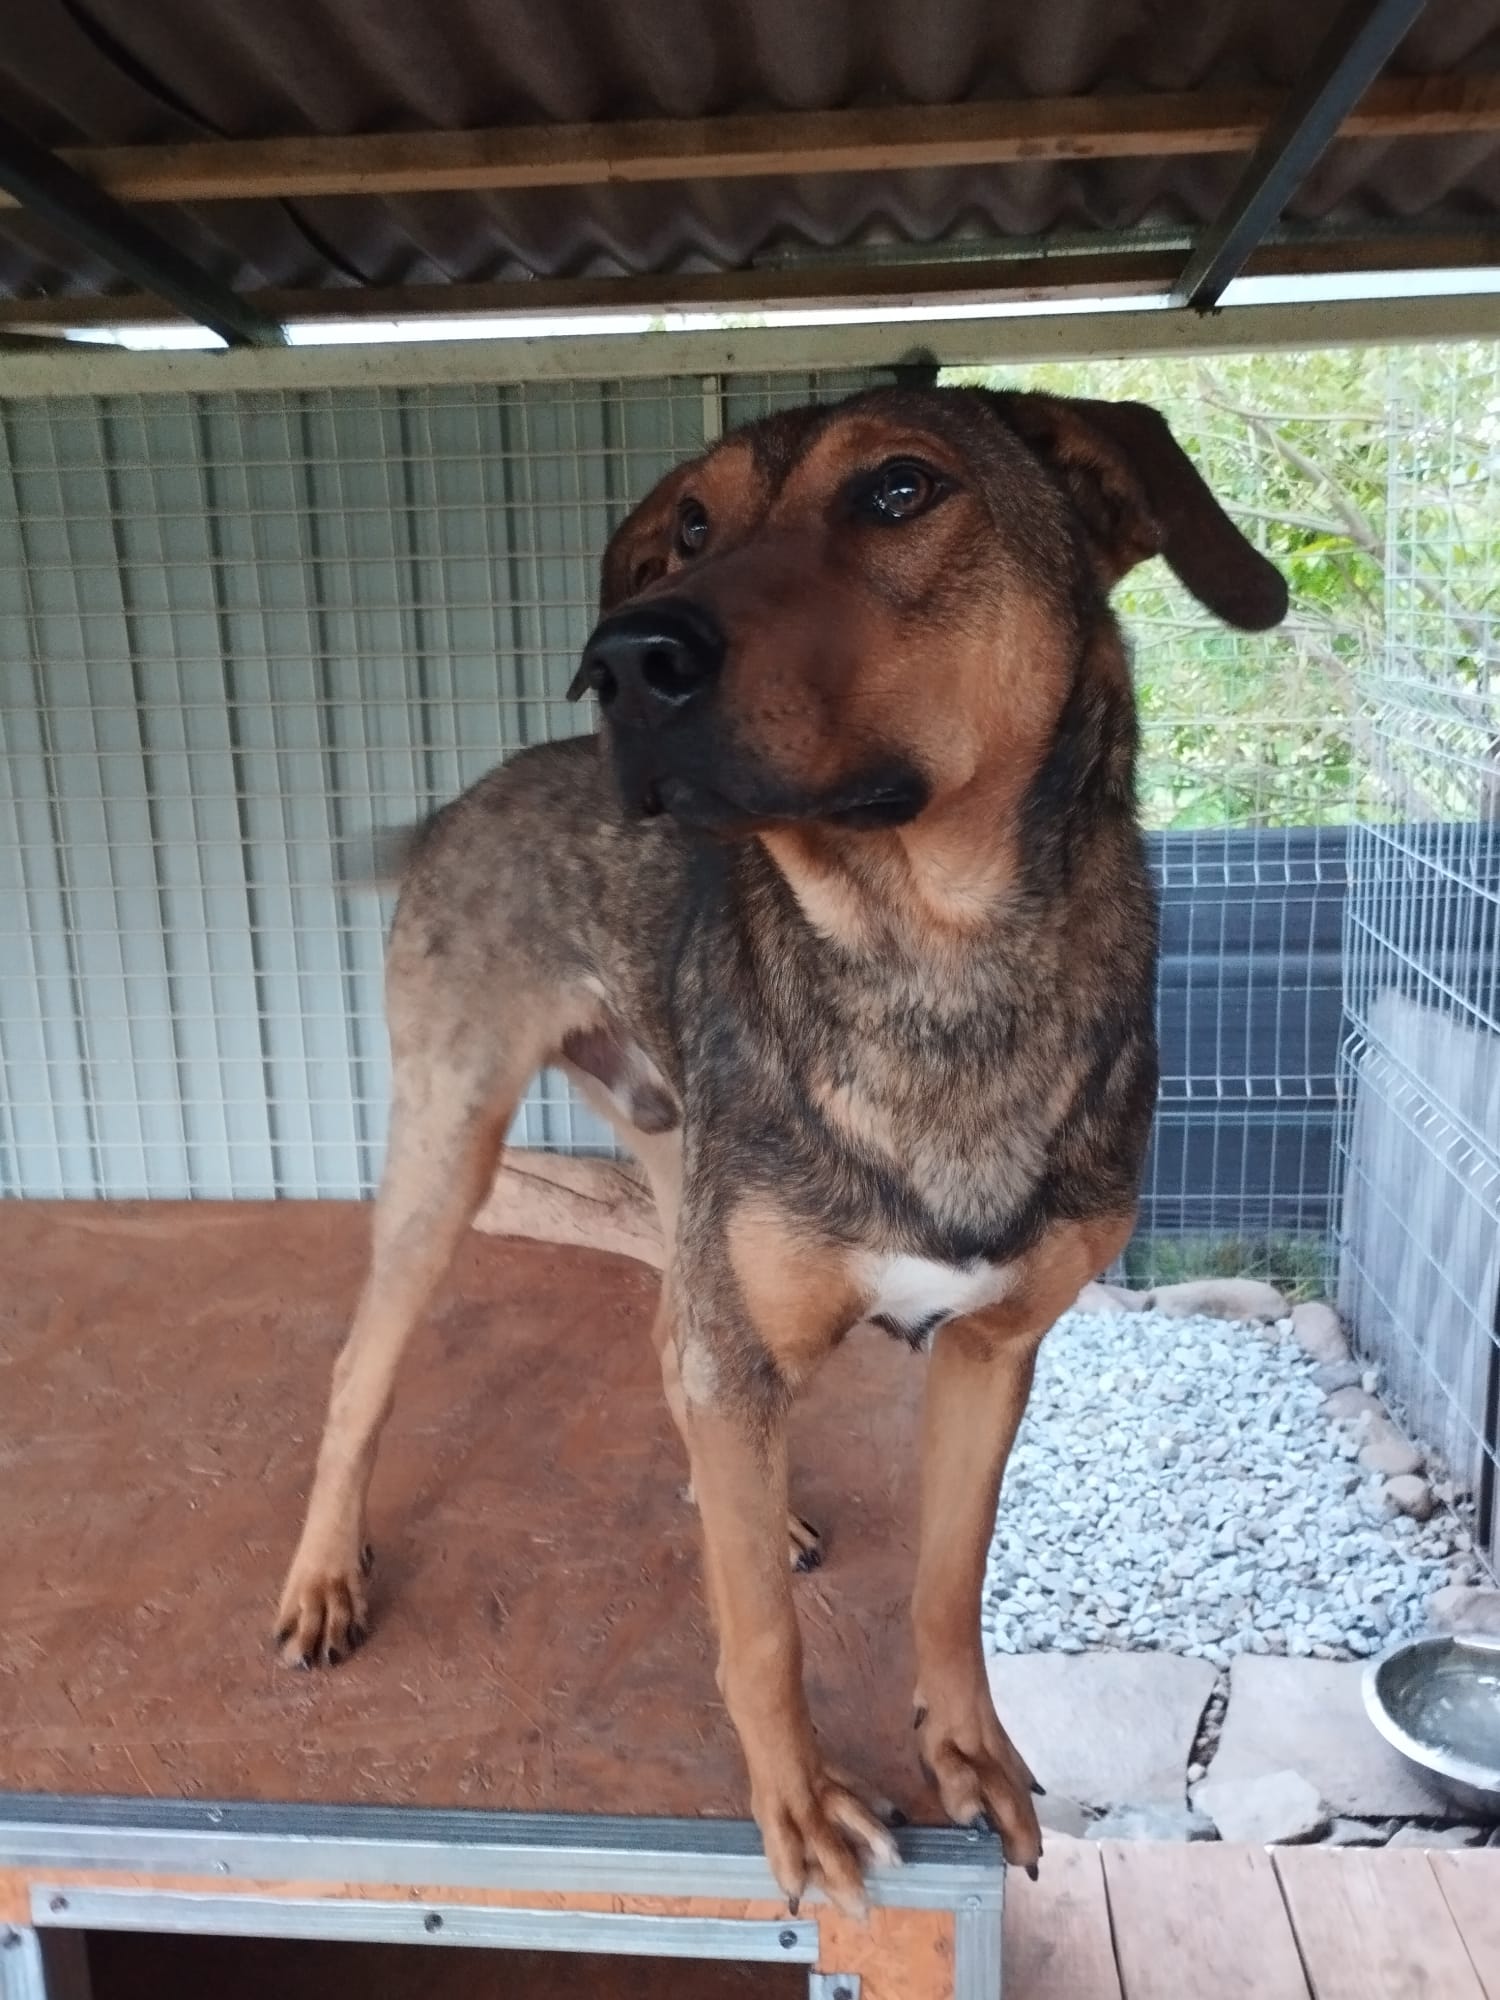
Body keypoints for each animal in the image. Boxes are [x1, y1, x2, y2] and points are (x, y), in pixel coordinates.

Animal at [274, 383, 1287, 1913]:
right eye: (690, 524)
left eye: (901, 489)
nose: (621, 661)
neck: (928, 971)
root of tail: (470, 795)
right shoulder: (745, 1331)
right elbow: (758, 1631)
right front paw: (800, 1806)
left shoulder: (995, 1351)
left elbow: (948, 1577)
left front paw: (968, 1750)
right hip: (450, 1143)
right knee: (361, 1370)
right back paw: (326, 1575)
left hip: (678, 1153)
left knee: (668, 1337)